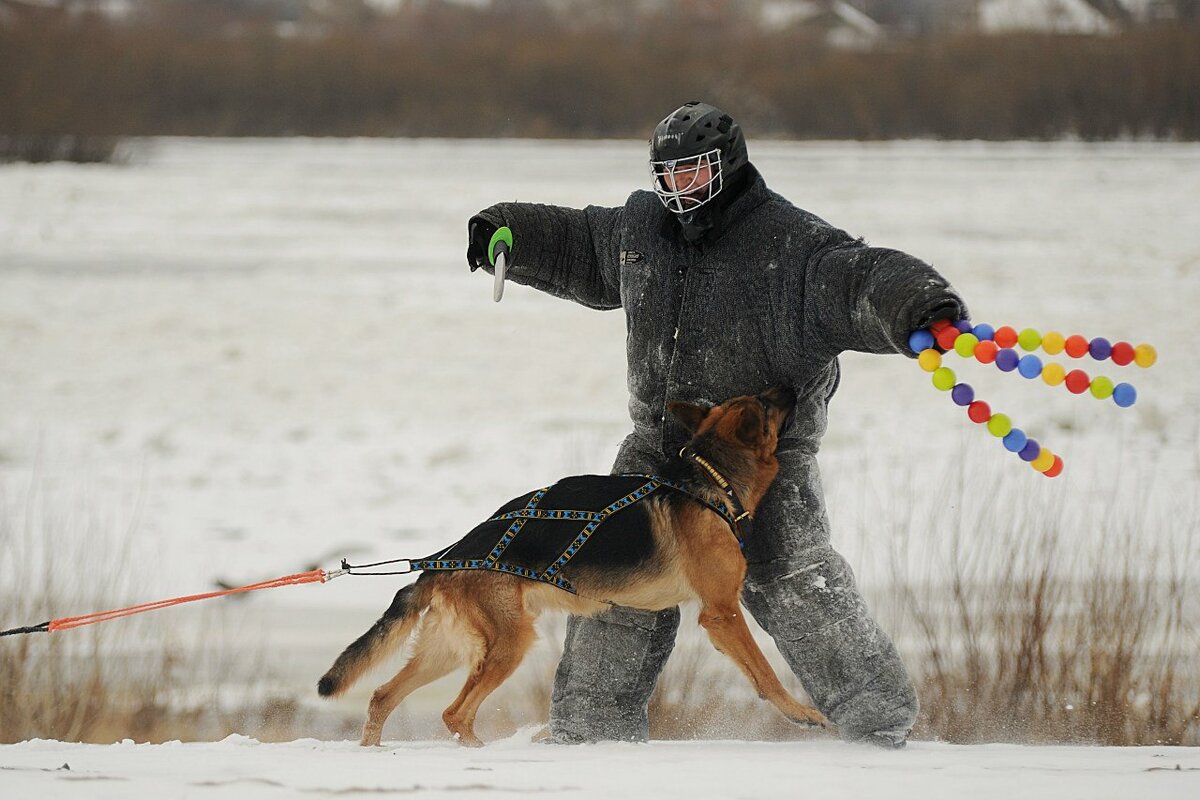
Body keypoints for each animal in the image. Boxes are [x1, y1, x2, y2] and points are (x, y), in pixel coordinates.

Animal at [314, 383, 830, 748]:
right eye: (766, 403)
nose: (791, 385)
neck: (711, 479)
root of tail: (443, 560)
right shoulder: (721, 612)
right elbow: (764, 671)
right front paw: (801, 714)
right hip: (509, 644)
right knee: (453, 713)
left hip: (447, 649)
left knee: (383, 696)